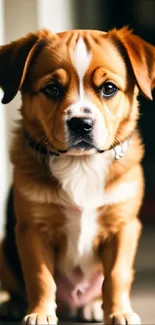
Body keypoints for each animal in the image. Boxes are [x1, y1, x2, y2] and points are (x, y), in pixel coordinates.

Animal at [0, 26, 154, 322]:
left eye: (108, 88)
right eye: (52, 89)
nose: (81, 123)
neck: (81, 164)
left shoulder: (124, 227)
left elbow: (116, 275)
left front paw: (118, 312)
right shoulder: (32, 229)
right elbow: (40, 277)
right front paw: (40, 313)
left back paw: (93, 306)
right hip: (3, 246)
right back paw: (12, 304)